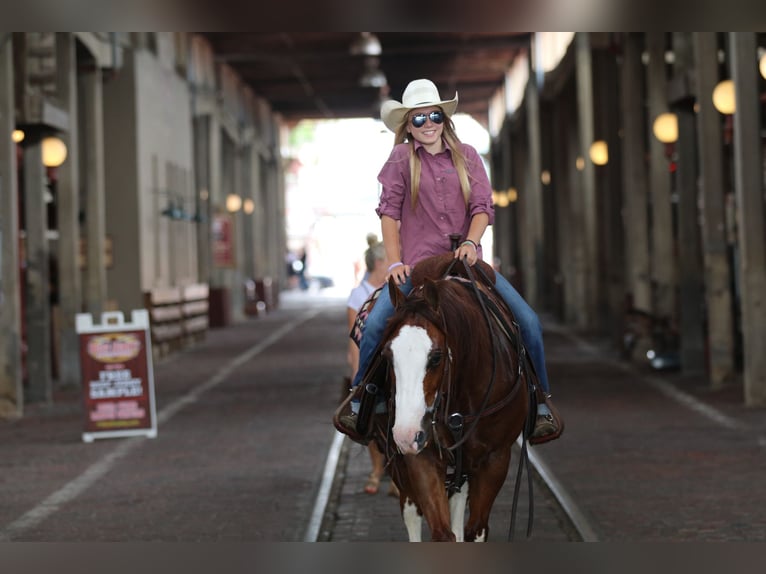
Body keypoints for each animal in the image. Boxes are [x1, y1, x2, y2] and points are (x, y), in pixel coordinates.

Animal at [370, 256, 536, 544]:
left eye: (436, 357)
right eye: (387, 355)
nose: (406, 434)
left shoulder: (495, 458)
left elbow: (474, 529)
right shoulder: (421, 456)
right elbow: (441, 531)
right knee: (411, 509)